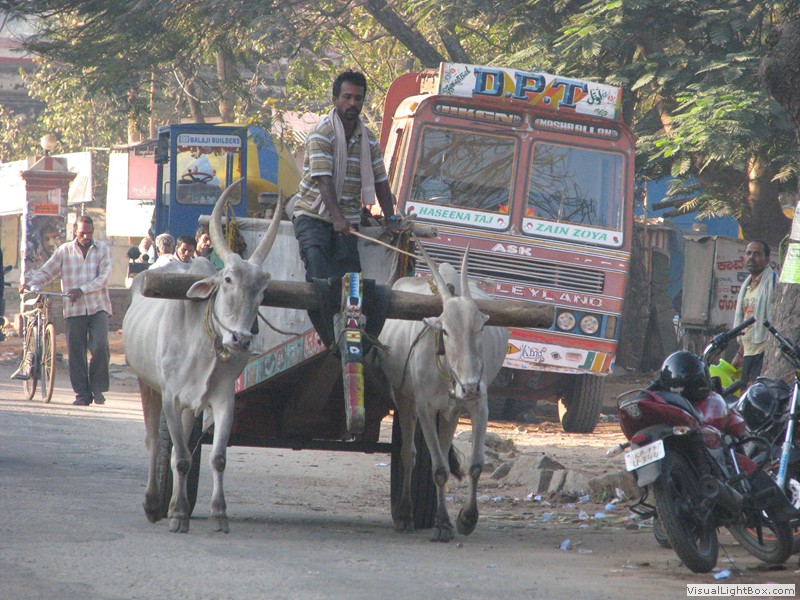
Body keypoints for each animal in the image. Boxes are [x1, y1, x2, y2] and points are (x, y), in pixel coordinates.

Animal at [123, 181, 282, 533]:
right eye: (228, 280)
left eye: (263, 290)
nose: (241, 339)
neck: (206, 343)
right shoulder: (171, 397)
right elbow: (181, 458)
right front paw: (179, 515)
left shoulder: (223, 399)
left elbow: (216, 458)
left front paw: (218, 512)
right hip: (146, 384)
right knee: (154, 442)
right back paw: (154, 504)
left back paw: (171, 503)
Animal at [374, 241, 509, 542]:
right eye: (445, 331)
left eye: (480, 327)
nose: (468, 386)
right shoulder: (424, 408)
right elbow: (437, 469)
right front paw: (443, 523)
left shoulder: (479, 405)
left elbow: (475, 465)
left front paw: (466, 518)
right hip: (405, 400)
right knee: (409, 455)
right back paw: (404, 513)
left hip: (451, 413)